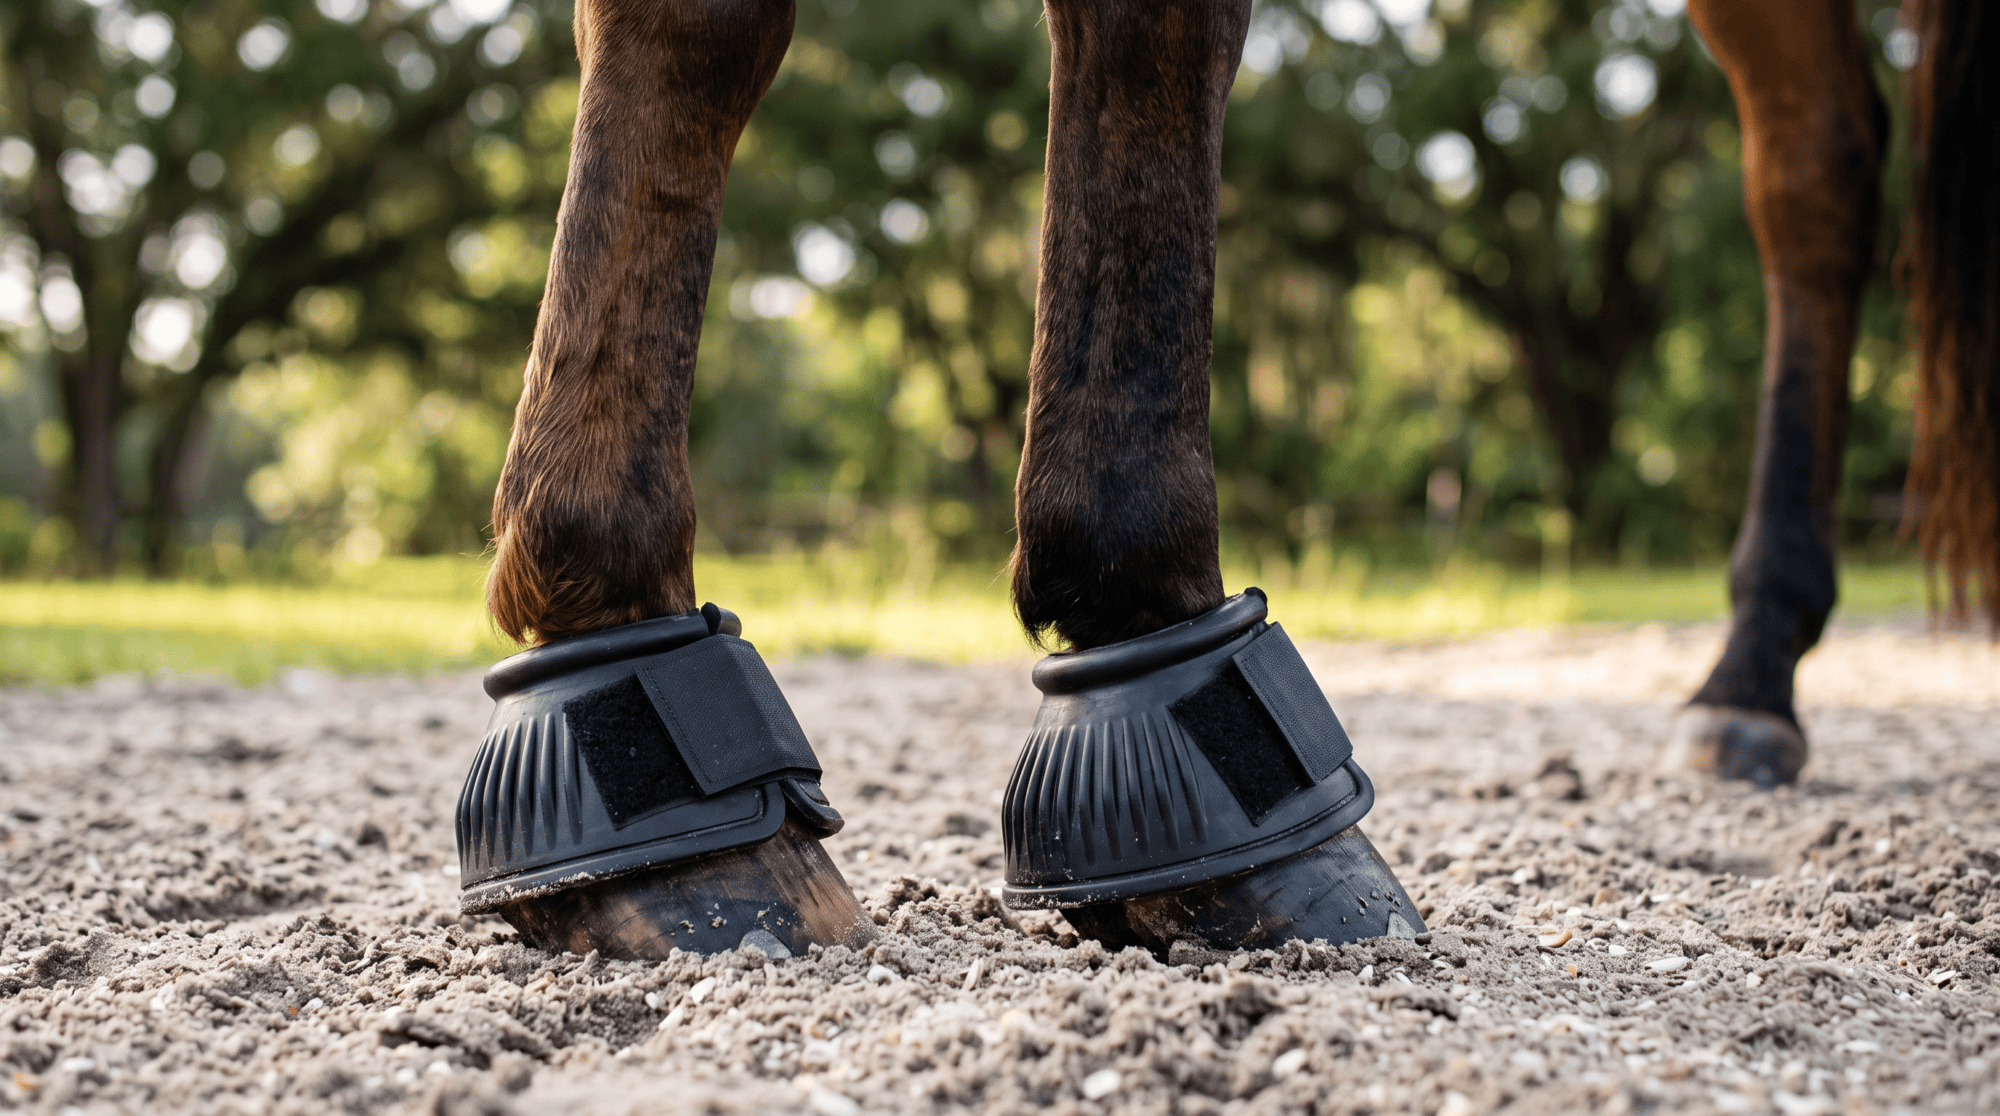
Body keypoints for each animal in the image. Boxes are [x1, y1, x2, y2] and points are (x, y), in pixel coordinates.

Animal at [454, 0, 1998, 960]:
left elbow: (1148, 37)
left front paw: (1130, 597)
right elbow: (689, 28)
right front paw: (611, 634)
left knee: (1818, 169)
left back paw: (1756, 672)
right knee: (1815, 162)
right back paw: (1750, 673)